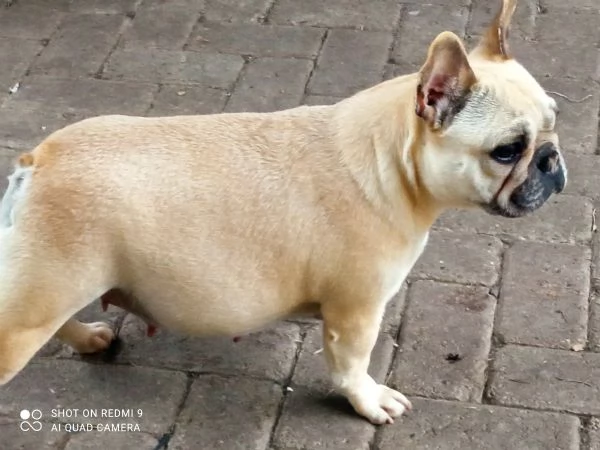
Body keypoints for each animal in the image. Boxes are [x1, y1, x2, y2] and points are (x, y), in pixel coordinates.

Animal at [0, 0, 564, 426]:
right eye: (507, 151)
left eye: (554, 121)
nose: (552, 159)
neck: (391, 162)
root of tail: (38, 162)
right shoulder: (355, 312)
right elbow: (351, 366)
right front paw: (368, 401)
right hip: (37, 301)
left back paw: (90, 340)